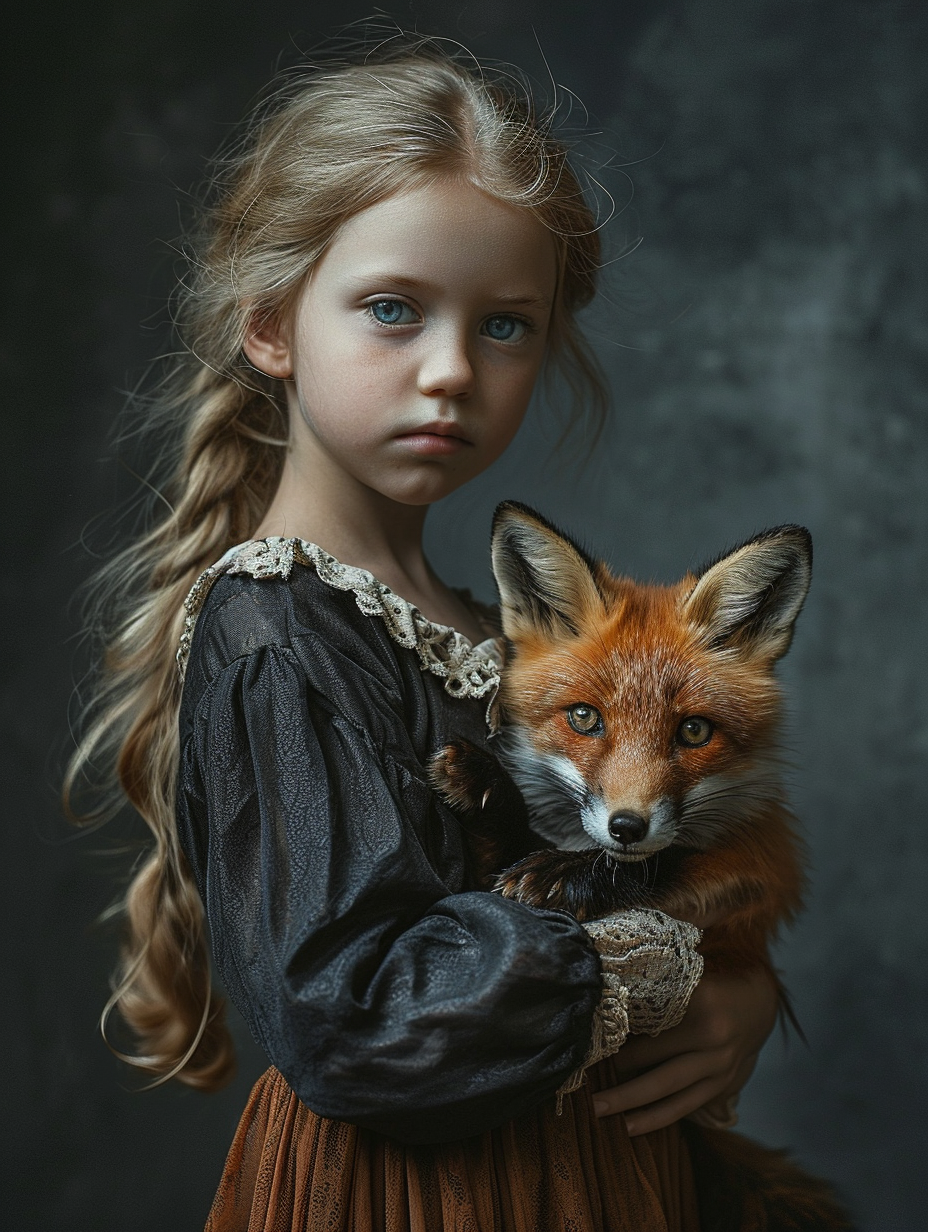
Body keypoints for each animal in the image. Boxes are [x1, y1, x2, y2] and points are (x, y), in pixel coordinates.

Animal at [431, 500, 857, 1232]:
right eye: (584, 719)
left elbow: (660, 865)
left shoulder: (757, 865)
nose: (627, 827)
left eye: (693, 731)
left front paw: (571, 871)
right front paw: (491, 792)